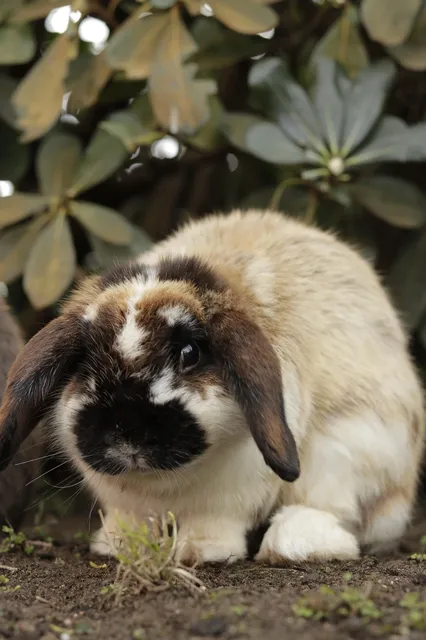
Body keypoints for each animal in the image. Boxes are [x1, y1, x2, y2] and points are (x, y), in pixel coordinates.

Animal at [0, 210, 424, 565]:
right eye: (84, 359)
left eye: (190, 353)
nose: (127, 433)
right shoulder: (126, 503)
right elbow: (132, 522)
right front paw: (121, 548)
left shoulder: (229, 495)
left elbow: (214, 522)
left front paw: (199, 552)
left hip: (350, 451)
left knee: (332, 511)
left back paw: (293, 545)